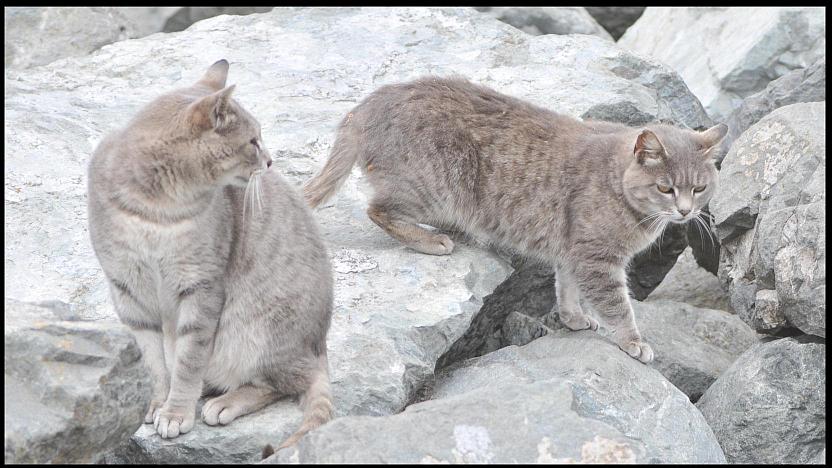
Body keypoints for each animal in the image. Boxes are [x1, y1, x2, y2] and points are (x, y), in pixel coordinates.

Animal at [85, 59, 332, 454]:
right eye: (252, 141)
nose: (270, 161)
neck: (157, 211)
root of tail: (319, 350)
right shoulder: (127, 289)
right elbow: (152, 361)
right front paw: (155, 403)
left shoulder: (200, 287)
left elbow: (188, 362)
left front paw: (175, 412)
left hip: (257, 334)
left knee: (280, 383)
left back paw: (224, 402)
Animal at [302, 75, 724, 364]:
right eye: (666, 188)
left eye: (700, 188)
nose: (686, 211)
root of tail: (362, 110)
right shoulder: (596, 260)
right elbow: (617, 305)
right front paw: (634, 341)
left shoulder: (573, 253)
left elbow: (566, 289)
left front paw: (573, 318)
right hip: (435, 189)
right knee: (377, 209)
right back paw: (432, 240)